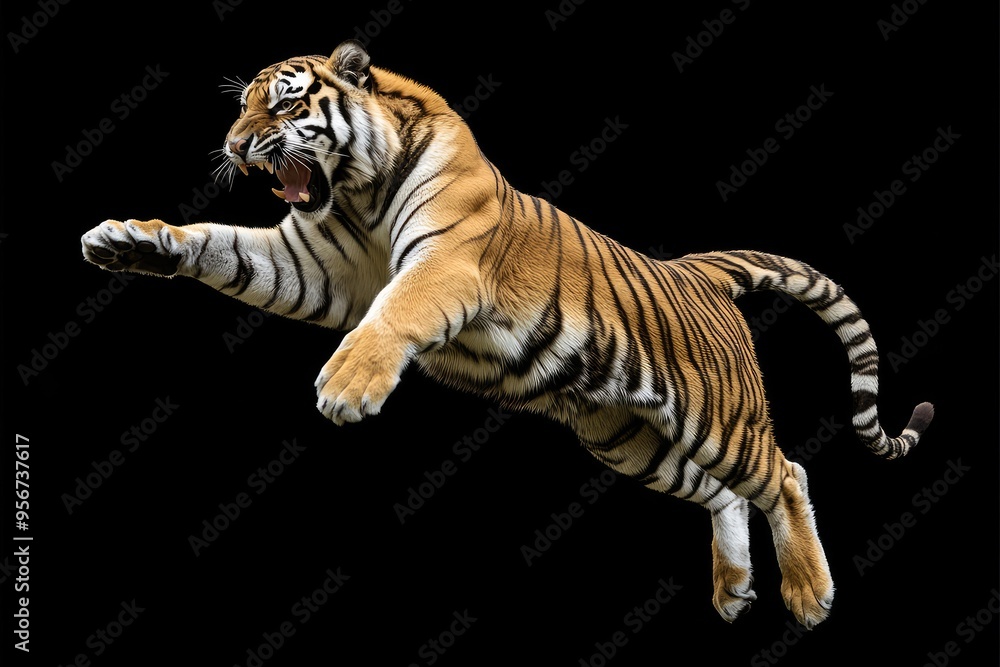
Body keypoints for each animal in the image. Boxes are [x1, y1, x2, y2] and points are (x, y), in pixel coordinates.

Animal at [80, 39, 934, 629]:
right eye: (243, 108)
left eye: (285, 108)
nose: (232, 147)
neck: (356, 192)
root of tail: (697, 270)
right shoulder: (310, 266)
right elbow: (214, 242)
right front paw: (126, 240)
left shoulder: (446, 265)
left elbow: (394, 312)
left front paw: (347, 387)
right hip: (631, 437)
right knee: (723, 492)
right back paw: (733, 590)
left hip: (715, 417)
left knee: (786, 472)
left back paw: (810, 593)